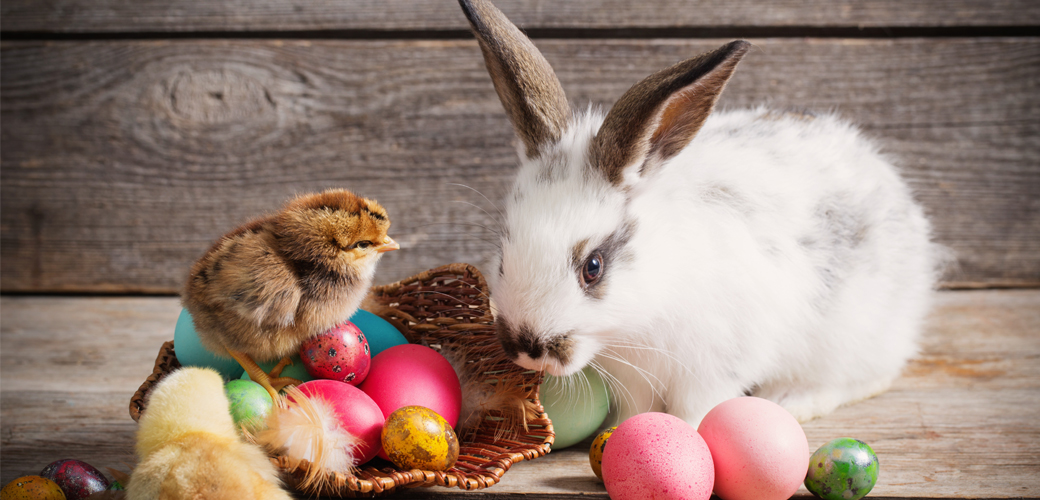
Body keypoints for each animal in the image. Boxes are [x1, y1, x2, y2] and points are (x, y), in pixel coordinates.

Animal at [459, 0, 940, 424]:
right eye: (503, 257)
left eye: (592, 268)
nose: (526, 348)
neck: (636, 322)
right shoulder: (633, 379)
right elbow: (636, 411)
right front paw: (621, 433)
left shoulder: (713, 367)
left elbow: (695, 411)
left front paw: (682, 437)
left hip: (852, 340)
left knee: (868, 377)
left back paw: (791, 401)